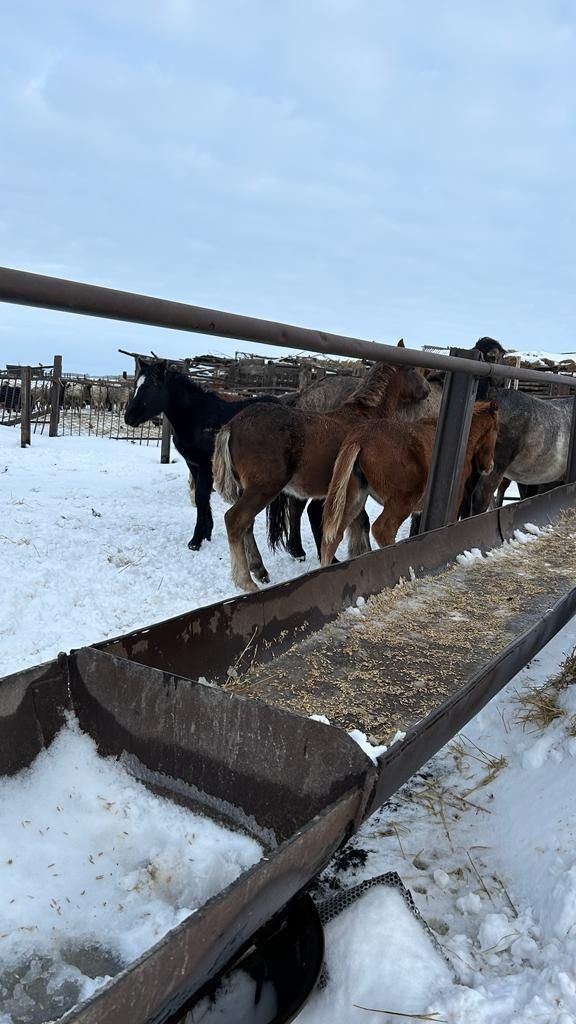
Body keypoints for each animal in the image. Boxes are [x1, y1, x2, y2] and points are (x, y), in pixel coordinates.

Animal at [123, 360, 280, 552]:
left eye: (151, 386)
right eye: (135, 385)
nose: (129, 417)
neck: (198, 418)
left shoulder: (206, 465)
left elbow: (201, 496)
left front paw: (196, 540)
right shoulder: (193, 464)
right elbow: (201, 498)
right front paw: (207, 532)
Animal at [213, 348, 428, 593]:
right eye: (412, 368)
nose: (427, 390)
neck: (364, 417)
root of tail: (232, 425)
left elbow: (358, 522)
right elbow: (360, 523)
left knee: (247, 526)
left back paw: (260, 570)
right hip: (263, 488)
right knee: (235, 521)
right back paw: (247, 581)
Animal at [317, 399, 498, 565]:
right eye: (496, 432)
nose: (489, 467)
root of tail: (359, 440)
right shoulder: (455, 499)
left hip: (353, 498)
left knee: (333, 537)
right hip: (405, 498)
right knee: (383, 529)